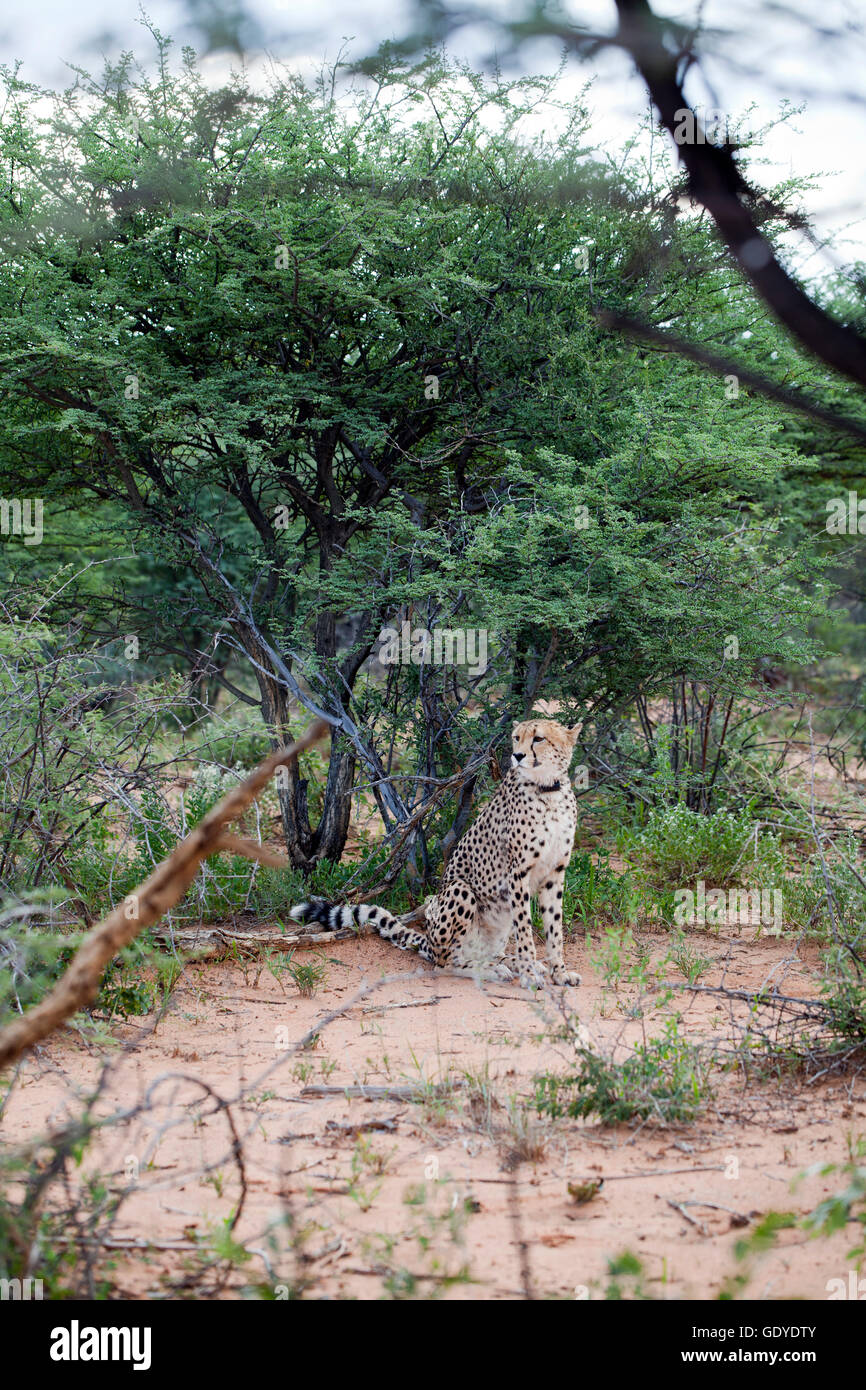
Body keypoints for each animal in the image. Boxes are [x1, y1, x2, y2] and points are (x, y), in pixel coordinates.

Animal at [289, 717, 583, 989]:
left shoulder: (554, 872)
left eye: (539, 738)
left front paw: (558, 972)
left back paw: (509, 963)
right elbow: (525, 930)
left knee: (486, 953)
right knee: (446, 962)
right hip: (459, 890)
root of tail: (429, 940)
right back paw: (493, 970)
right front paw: (530, 975)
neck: (548, 790)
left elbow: (554, 928)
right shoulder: (517, 874)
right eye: (516, 738)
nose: (517, 756)